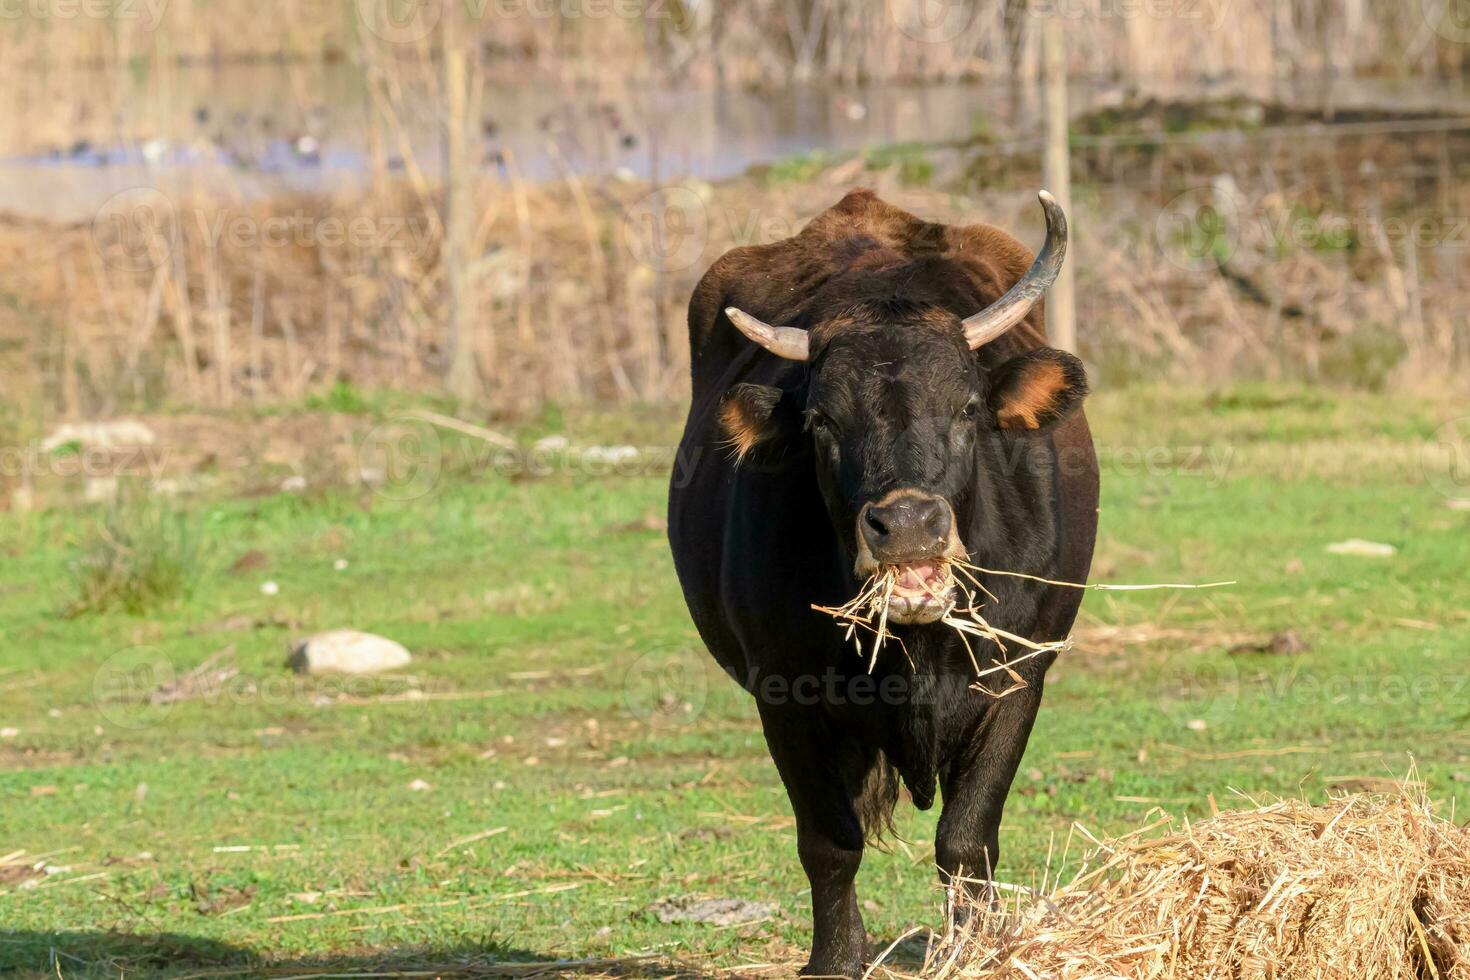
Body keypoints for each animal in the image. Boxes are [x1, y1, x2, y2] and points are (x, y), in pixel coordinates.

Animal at [673, 188, 1099, 975]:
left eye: (966, 407)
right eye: (822, 420)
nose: (905, 524)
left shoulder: (1018, 677)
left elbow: (966, 839)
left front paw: (975, 947)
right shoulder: (784, 698)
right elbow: (830, 844)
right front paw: (836, 958)